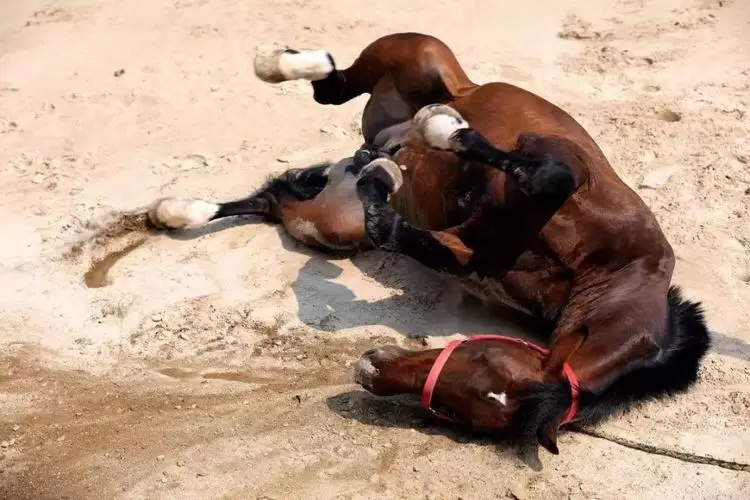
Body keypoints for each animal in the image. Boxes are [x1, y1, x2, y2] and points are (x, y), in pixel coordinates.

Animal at [150, 31, 712, 454]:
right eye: (481, 356)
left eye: (452, 410)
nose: (369, 369)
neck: (613, 275)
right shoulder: (563, 166)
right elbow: (546, 177)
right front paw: (441, 132)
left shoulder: (464, 251)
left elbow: (396, 231)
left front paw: (385, 179)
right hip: (421, 57)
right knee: (334, 83)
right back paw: (284, 69)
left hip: (329, 221)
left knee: (276, 198)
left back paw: (180, 210)